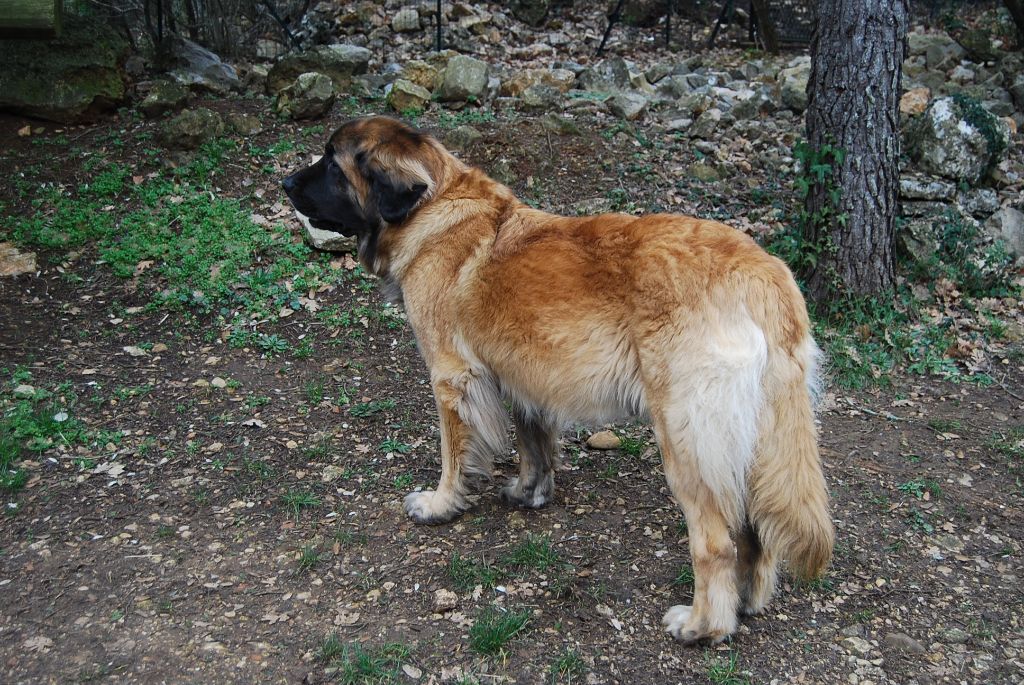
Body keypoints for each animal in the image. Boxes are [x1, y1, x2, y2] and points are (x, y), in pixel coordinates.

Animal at [282, 114, 831, 643]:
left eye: (331, 164)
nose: (285, 183)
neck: (432, 208)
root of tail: (761, 273)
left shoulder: (452, 376)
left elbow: (455, 457)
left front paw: (440, 504)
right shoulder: (525, 379)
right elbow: (533, 445)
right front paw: (529, 492)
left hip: (687, 438)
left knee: (716, 540)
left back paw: (702, 626)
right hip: (754, 439)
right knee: (755, 529)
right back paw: (746, 601)